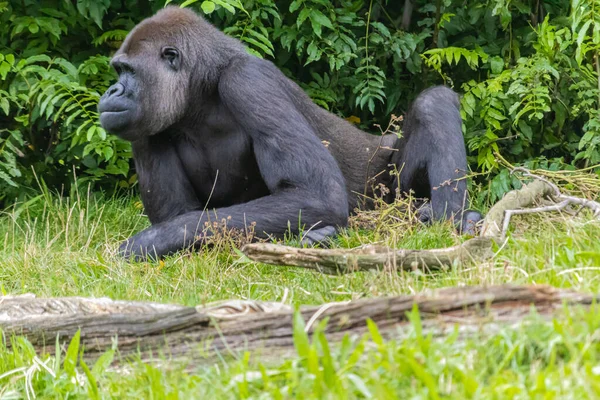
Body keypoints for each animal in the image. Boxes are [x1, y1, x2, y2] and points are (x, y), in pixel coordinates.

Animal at [98, 8, 482, 262]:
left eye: (127, 71)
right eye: (118, 70)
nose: (112, 91)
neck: (201, 88)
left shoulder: (248, 81)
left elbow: (318, 194)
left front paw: (152, 240)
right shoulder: (145, 123)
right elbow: (183, 214)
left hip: (386, 188)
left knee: (434, 102)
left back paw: (452, 218)